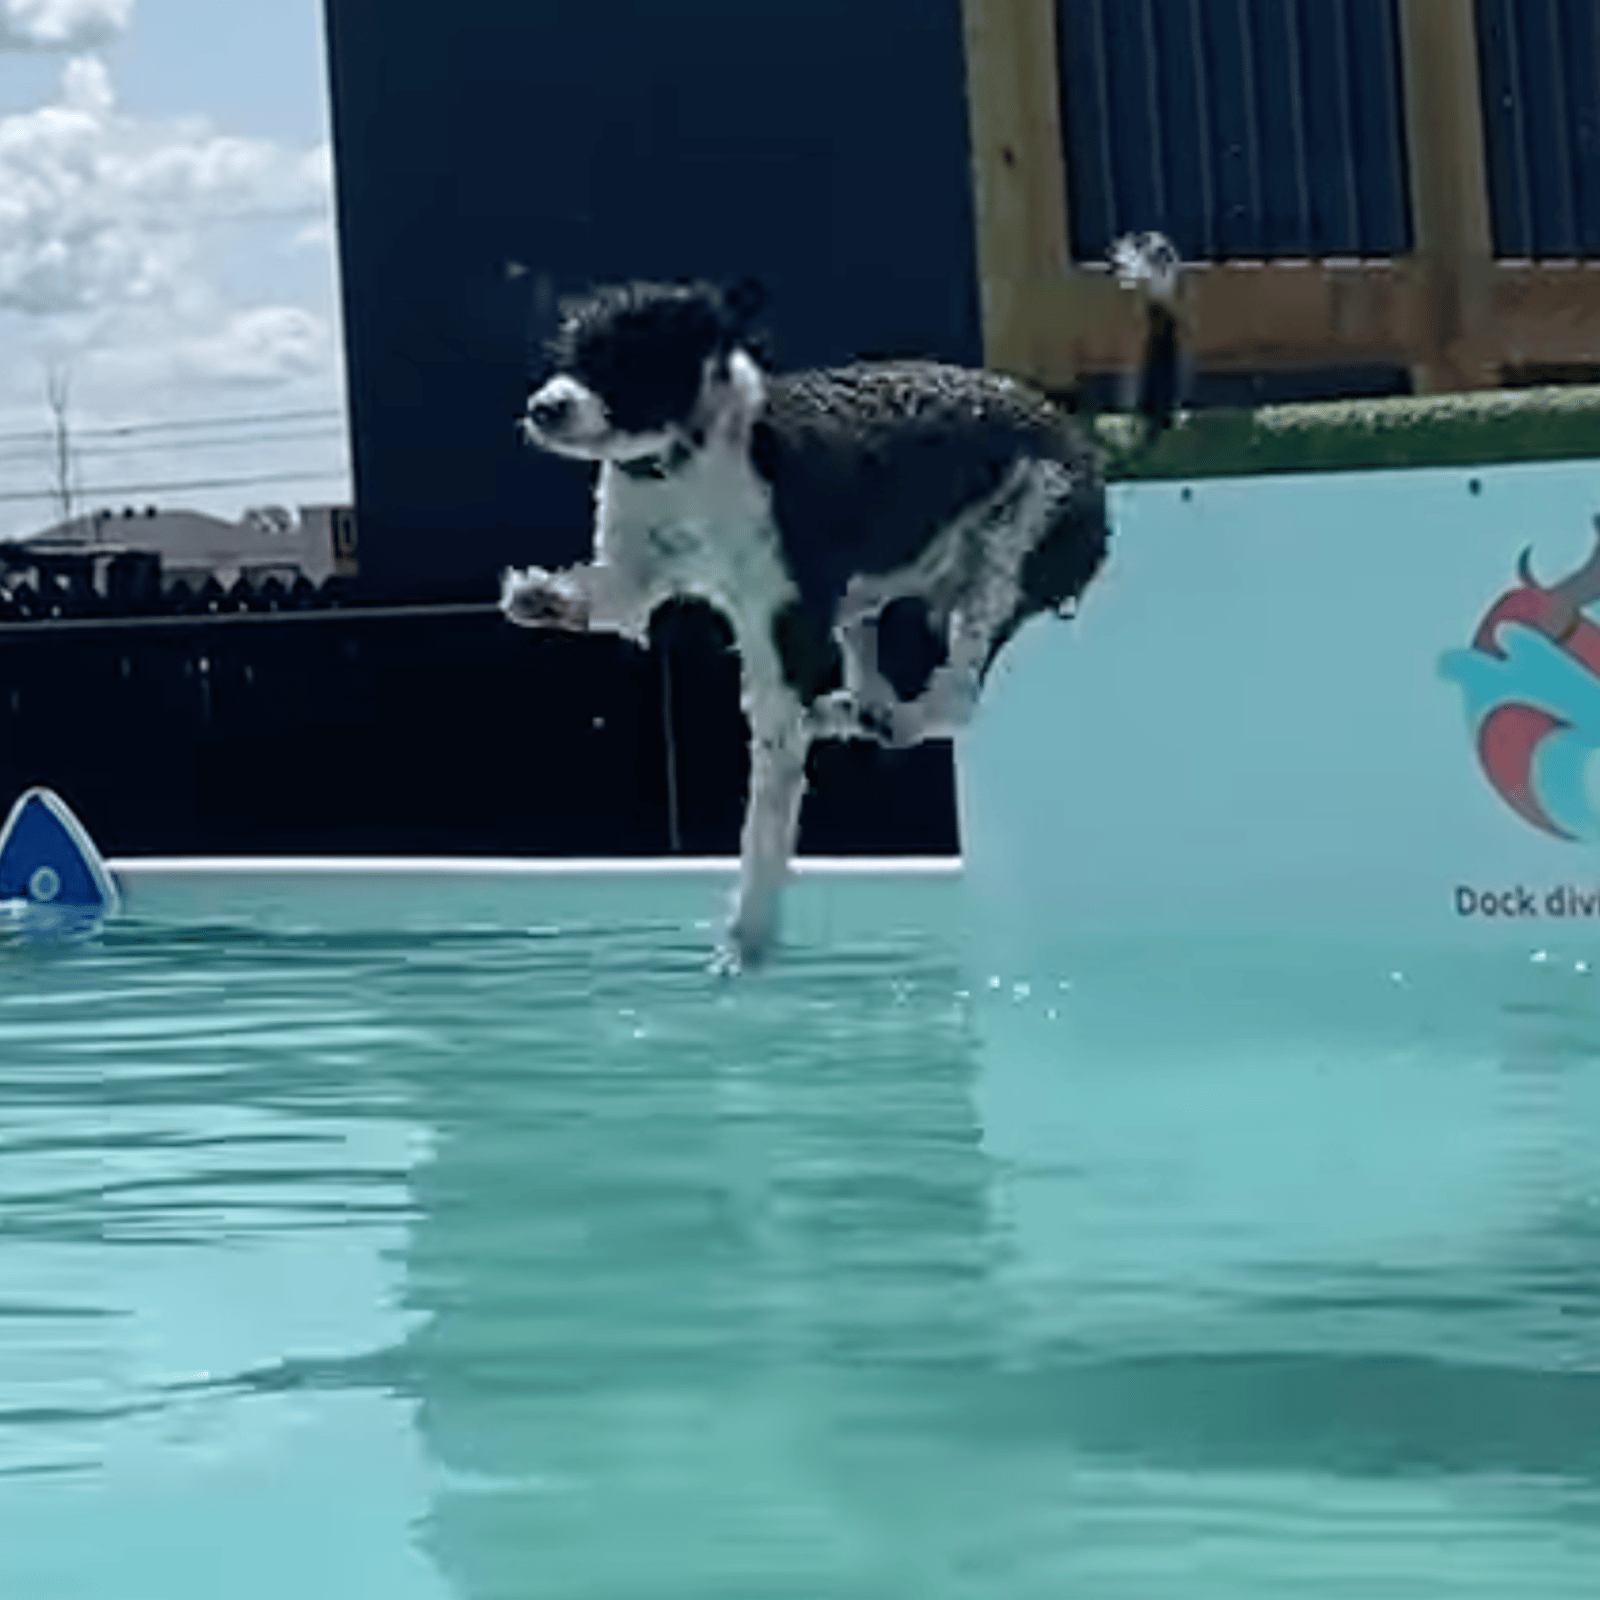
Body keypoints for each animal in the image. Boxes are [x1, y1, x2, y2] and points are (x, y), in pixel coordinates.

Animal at [505, 233, 1184, 966]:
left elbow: (771, 784)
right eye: (570, 352)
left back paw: (878, 716)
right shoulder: (637, 566)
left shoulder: (784, 618)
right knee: (879, 670)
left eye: (628, 357)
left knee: (954, 698)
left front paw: (748, 935)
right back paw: (859, 710)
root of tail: (1088, 445)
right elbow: (612, 597)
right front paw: (540, 597)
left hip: (1012, 554)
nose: (544, 408)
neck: (692, 458)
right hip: (877, 589)